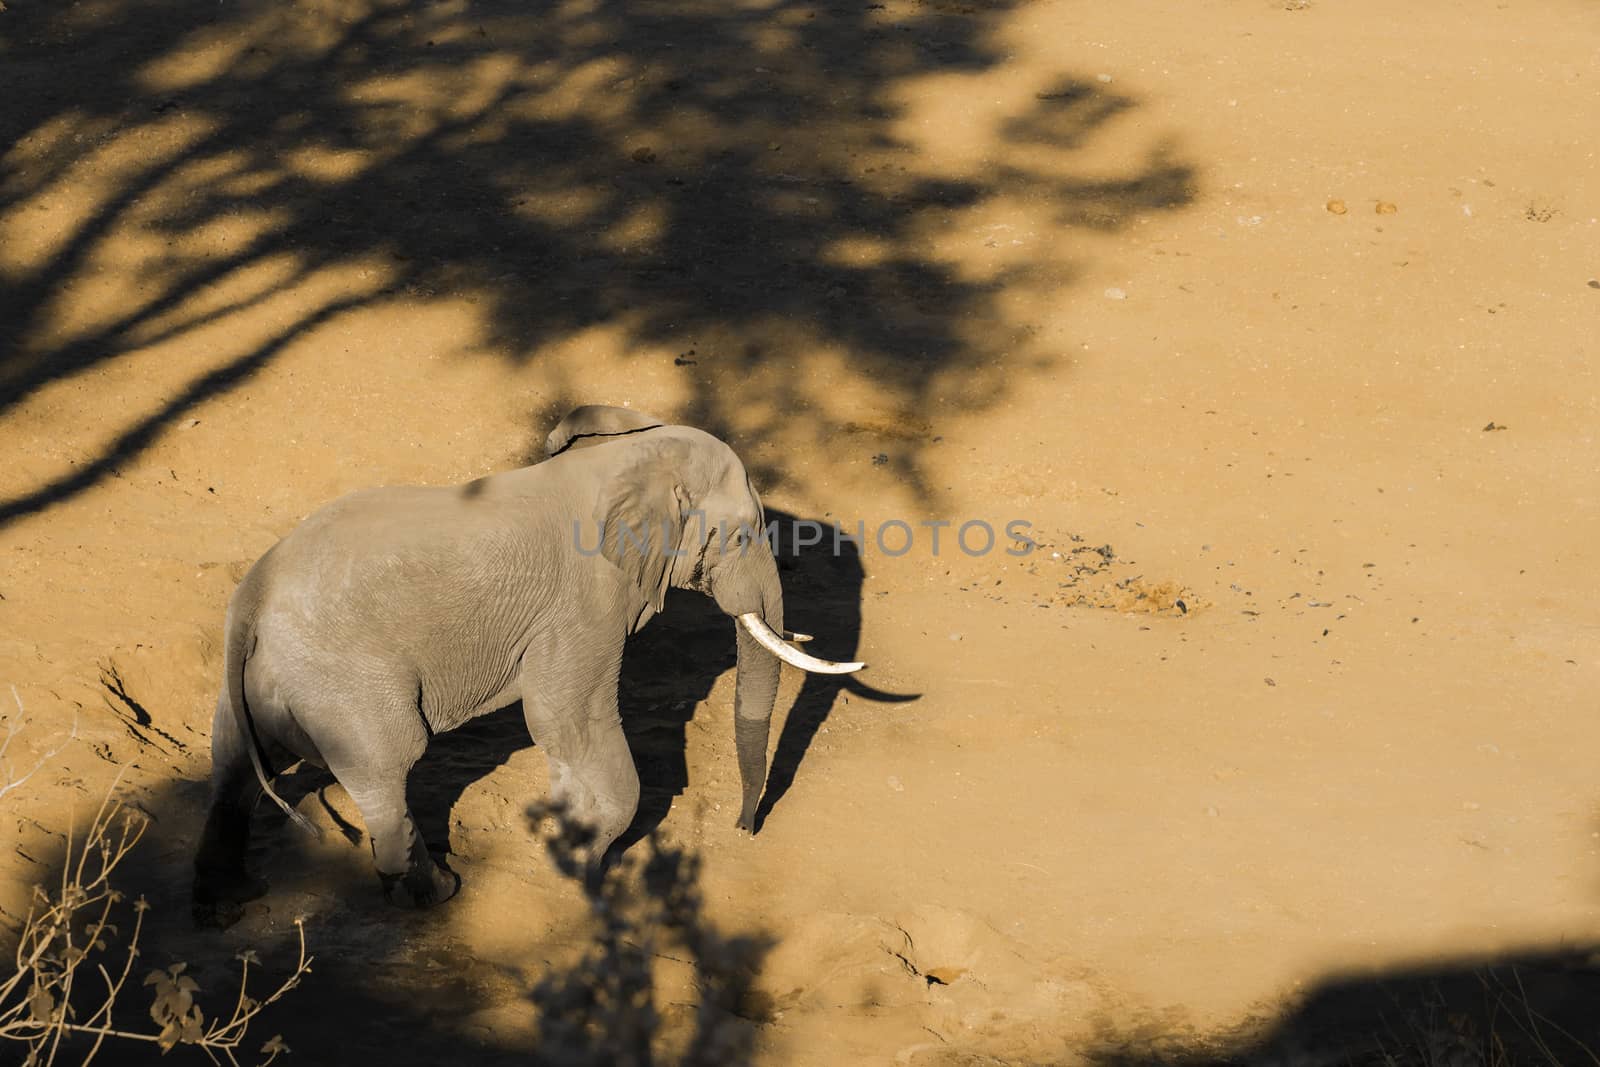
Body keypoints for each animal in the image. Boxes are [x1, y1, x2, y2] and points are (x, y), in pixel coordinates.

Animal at [190, 404, 864, 921]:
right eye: (744, 535)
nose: (745, 830)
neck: (620, 461)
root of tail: (248, 603)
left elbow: (562, 731)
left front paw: (562, 842)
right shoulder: (588, 599)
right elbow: (564, 715)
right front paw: (586, 871)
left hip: (269, 684)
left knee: (235, 768)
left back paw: (224, 907)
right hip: (343, 680)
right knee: (388, 764)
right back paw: (434, 893)